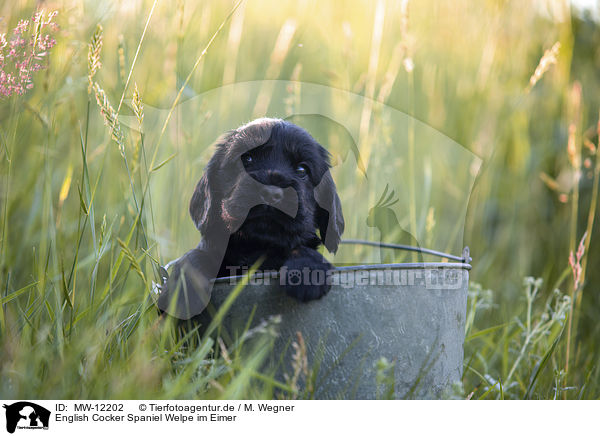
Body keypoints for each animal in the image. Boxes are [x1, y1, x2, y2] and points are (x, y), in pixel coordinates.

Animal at [157, 119, 344, 320]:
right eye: (247, 159)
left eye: (302, 169)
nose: (271, 192)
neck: (257, 248)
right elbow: (194, 257)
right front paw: (181, 292)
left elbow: (302, 248)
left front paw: (307, 272)